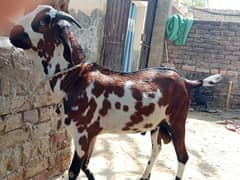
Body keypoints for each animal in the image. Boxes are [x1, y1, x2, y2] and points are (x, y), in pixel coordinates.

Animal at [9, 5, 222, 180]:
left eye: (43, 21)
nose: (12, 31)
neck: (76, 78)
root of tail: (186, 81)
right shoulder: (92, 135)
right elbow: (86, 166)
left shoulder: (82, 135)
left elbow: (73, 171)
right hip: (157, 125)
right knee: (157, 149)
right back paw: (144, 176)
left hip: (177, 121)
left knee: (183, 156)